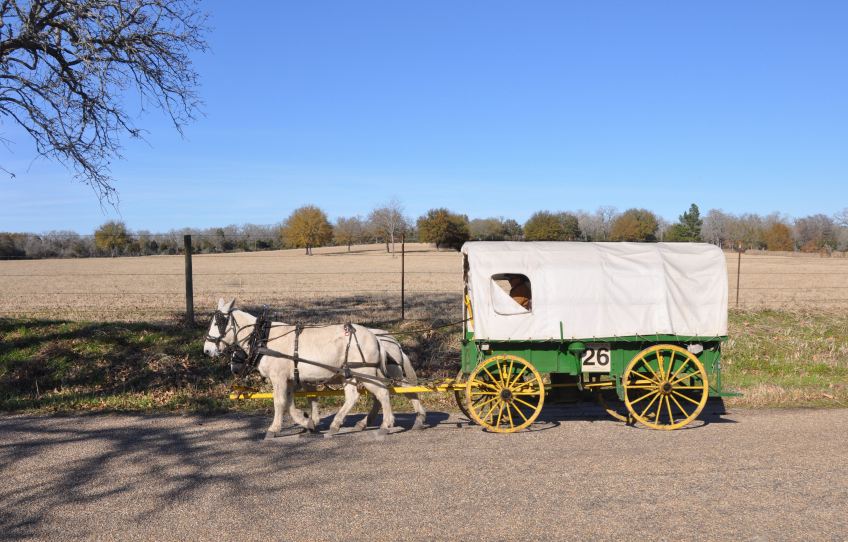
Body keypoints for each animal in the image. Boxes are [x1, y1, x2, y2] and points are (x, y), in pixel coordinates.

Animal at [203, 298, 395, 435]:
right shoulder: (288, 379)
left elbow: (279, 402)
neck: (263, 338)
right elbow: (288, 403)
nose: (207, 350)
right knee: (354, 396)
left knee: (382, 393)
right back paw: (338, 424)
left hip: (364, 371)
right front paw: (307, 422)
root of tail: (375, 337)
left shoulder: (278, 377)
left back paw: (386, 424)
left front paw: (273, 429)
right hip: (349, 374)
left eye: (218, 323)